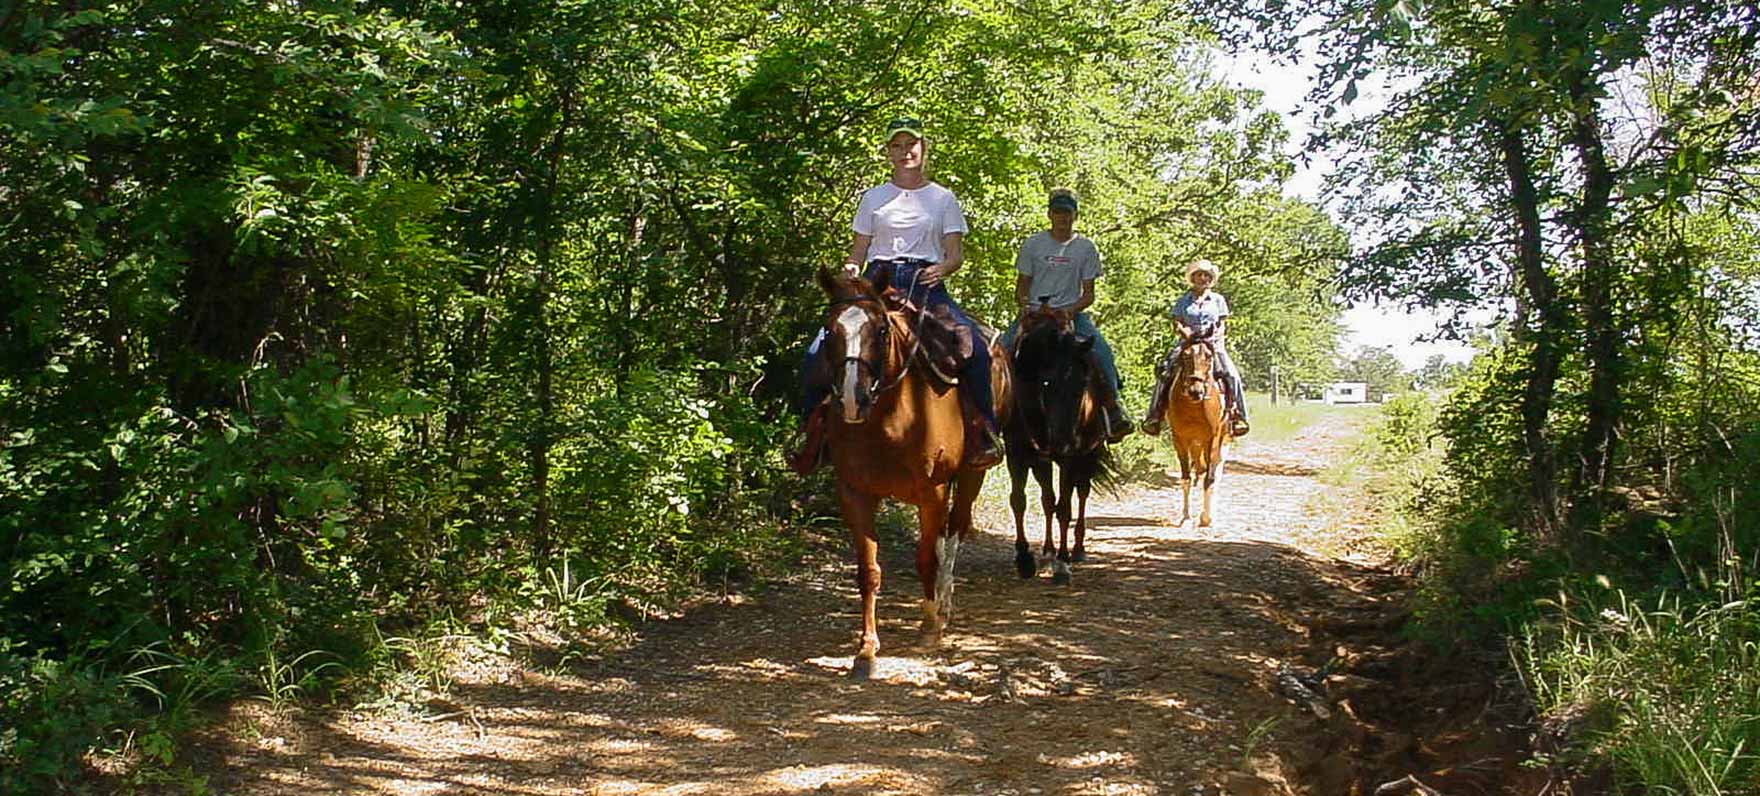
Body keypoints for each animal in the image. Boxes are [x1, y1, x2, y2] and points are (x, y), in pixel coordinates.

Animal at [813, 267, 1013, 676]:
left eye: (881, 330)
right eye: (829, 330)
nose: (852, 399)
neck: (891, 419)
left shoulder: (931, 489)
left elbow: (925, 559)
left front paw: (929, 628)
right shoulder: (854, 492)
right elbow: (869, 570)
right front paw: (866, 649)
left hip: (972, 474)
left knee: (954, 532)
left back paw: (944, 605)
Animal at [1006, 308, 1112, 588]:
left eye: (1083, 384)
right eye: (1045, 382)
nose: (1062, 441)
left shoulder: (1070, 458)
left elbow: (1065, 508)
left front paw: (1062, 566)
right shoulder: (1017, 451)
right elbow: (1019, 500)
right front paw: (1024, 559)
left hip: (1088, 454)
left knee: (1082, 493)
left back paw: (1077, 550)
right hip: (1042, 459)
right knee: (1047, 499)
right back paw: (1047, 551)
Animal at [1161, 338, 1232, 524]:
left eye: (1208, 356)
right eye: (1185, 356)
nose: (1196, 391)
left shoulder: (1212, 439)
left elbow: (1210, 478)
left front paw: (1206, 518)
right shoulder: (1180, 439)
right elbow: (1186, 477)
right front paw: (1186, 517)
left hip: (1224, 439)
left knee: (1216, 472)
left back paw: (1211, 512)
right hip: (1195, 444)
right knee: (1200, 469)